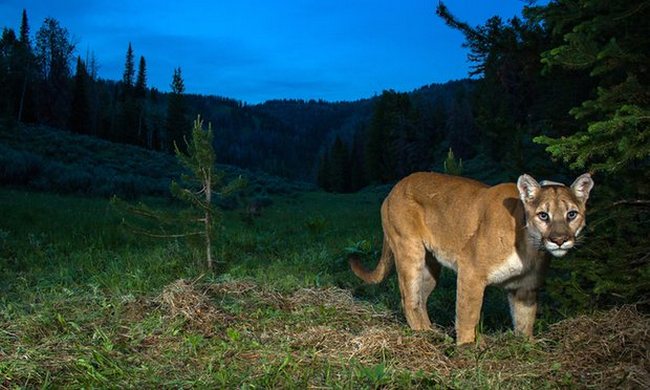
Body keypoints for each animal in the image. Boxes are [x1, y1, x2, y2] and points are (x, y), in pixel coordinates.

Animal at [350, 172, 592, 342]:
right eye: (543, 215)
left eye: (571, 214)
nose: (559, 240)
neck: (530, 247)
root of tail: (393, 189)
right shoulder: (471, 270)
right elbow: (468, 313)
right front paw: (467, 348)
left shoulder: (526, 288)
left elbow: (525, 321)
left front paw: (526, 346)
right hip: (409, 250)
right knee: (409, 299)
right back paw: (423, 336)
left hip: (430, 268)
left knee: (421, 299)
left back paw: (433, 332)